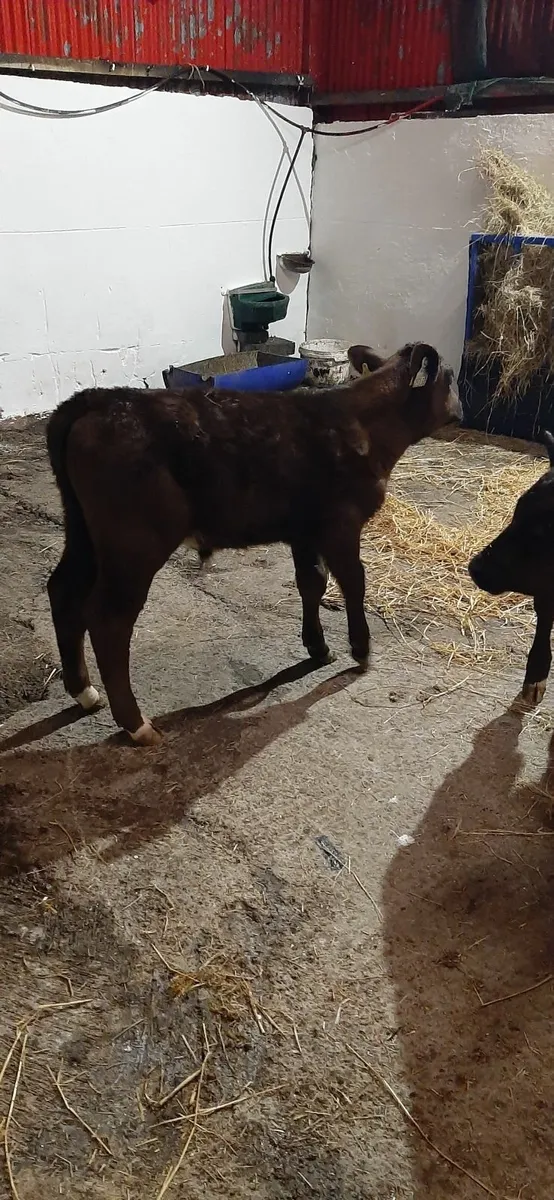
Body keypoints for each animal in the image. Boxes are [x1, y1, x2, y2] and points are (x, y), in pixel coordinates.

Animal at [46, 341, 461, 745]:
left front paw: (319, 648)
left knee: (63, 590)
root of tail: (100, 399)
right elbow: (353, 582)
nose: (460, 409)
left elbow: (312, 582)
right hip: (135, 542)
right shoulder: (341, 525)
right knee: (108, 619)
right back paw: (136, 725)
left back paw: (85, 693)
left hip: (85, 534)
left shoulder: (304, 531)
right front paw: (360, 649)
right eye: (451, 376)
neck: (363, 425)